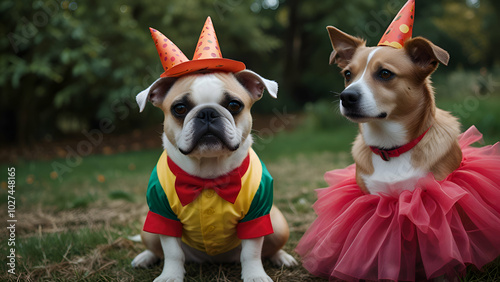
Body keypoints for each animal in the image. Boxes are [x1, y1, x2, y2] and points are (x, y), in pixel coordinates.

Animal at [131, 70, 298, 282]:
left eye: (234, 105)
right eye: (180, 108)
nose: (207, 112)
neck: (208, 175)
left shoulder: (256, 215)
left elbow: (251, 252)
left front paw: (255, 275)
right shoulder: (163, 215)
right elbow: (172, 252)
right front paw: (170, 276)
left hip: (277, 225)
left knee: (269, 248)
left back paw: (282, 257)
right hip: (150, 229)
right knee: (157, 248)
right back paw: (145, 257)